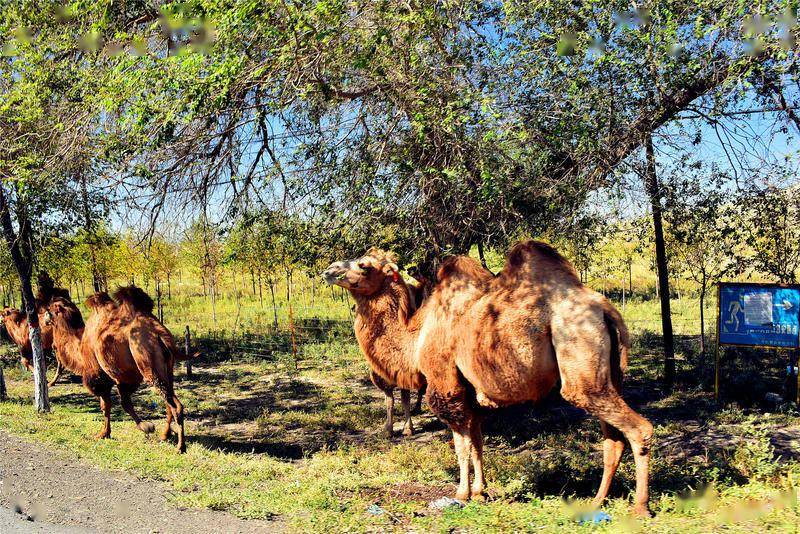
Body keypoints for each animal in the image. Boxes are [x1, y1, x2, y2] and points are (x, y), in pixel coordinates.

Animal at [44, 286, 191, 454]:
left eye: (49, 309)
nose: (44, 319)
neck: (79, 345)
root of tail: (159, 334)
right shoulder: (121, 378)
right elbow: (116, 404)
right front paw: (105, 433)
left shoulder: (98, 375)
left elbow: (110, 404)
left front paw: (146, 427)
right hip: (167, 369)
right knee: (169, 401)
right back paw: (165, 435)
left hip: (148, 364)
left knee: (175, 405)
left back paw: (180, 447)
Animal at [322, 243, 652, 520]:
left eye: (364, 265)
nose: (329, 269)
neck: (416, 336)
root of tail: (605, 309)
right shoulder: (471, 395)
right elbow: (478, 441)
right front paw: (481, 492)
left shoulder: (445, 384)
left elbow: (461, 444)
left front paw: (462, 493)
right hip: (607, 378)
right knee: (613, 439)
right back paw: (596, 502)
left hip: (579, 363)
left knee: (639, 429)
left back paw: (639, 508)